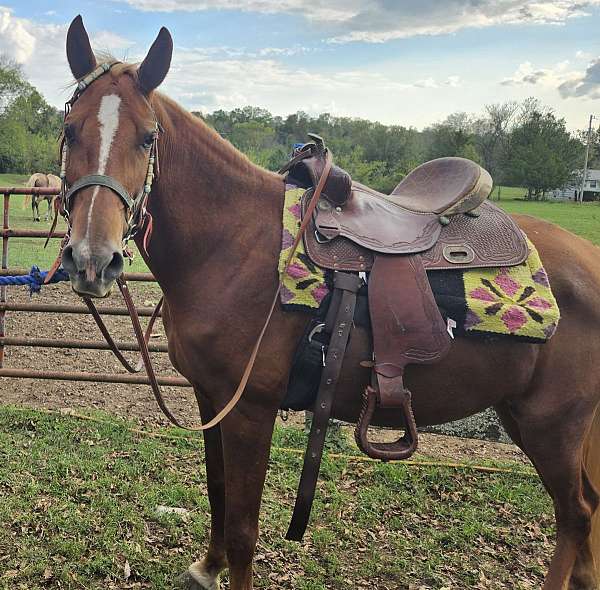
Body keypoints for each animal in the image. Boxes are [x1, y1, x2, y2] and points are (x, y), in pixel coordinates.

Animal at [56, 16, 600, 590]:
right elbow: (217, 492)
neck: (232, 243)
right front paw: (208, 566)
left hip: (552, 426)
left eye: (147, 137)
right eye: (70, 130)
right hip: (525, 416)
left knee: (576, 512)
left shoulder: (250, 409)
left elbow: (243, 527)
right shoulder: (210, 397)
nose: (92, 260)